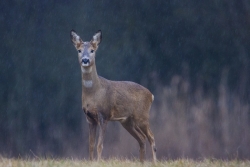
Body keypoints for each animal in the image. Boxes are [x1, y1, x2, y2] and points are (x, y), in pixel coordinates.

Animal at [70, 29, 156, 162]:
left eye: (92, 50)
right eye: (79, 50)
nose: (85, 60)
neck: (94, 93)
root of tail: (151, 95)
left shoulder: (104, 115)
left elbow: (100, 145)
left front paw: (98, 162)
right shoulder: (89, 118)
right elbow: (90, 145)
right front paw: (91, 161)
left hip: (142, 116)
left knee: (151, 137)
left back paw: (154, 162)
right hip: (127, 121)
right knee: (142, 138)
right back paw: (142, 162)